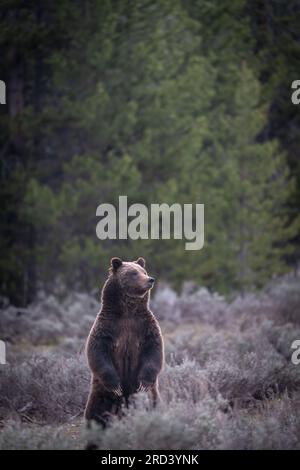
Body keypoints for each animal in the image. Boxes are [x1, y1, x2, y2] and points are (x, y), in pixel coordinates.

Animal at [84, 258, 164, 426]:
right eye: (133, 273)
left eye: (144, 271)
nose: (150, 279)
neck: (127, 311)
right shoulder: (107, 327)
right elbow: (98, 352)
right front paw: (116, 386)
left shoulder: (145, 327)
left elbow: (154, 351)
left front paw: (143, 383)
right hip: (100, 393)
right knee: (95, 412)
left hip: (150, 397)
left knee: (153, 405)